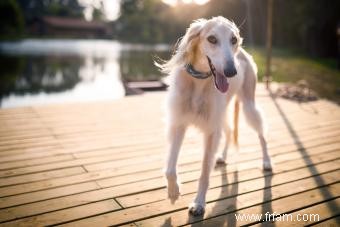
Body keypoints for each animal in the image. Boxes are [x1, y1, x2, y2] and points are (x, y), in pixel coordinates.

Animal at [158, 16, 272, 216]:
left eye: (233, 39)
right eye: (212, 39)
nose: (231, 71)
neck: (198, 82)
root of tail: (243, 53)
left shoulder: (211, 131)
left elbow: (204, 172)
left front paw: (198, 203)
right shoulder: (179, 123)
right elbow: (170, 168)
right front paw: (173, 192)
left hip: (248, 105)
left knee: (261, 131)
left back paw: (266, 161)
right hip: (222, 113)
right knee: (230, 130)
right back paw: (222, 157)